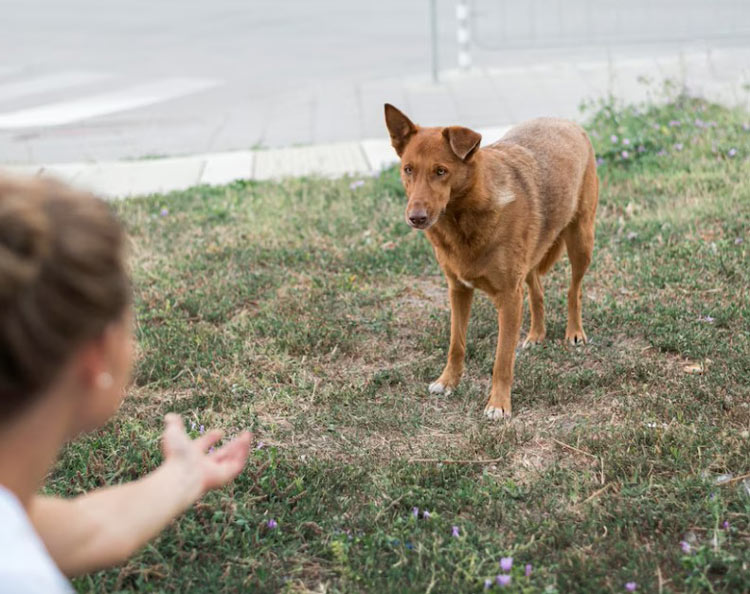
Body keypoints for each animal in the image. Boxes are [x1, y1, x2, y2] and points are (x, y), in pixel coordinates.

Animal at [388, 103, 600, 416]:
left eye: (441, 171)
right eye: (408, 169)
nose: (416, 218)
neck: (463, 219)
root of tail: (565, 121)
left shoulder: (509, 298)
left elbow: (502, 358)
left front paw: (498, 404)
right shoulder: (458, 290)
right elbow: (456, 344)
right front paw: (448, 382)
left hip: (581, 241)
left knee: (574, 289)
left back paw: (574, 332)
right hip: (532, 257)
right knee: (536, 288)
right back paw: (536, 334)